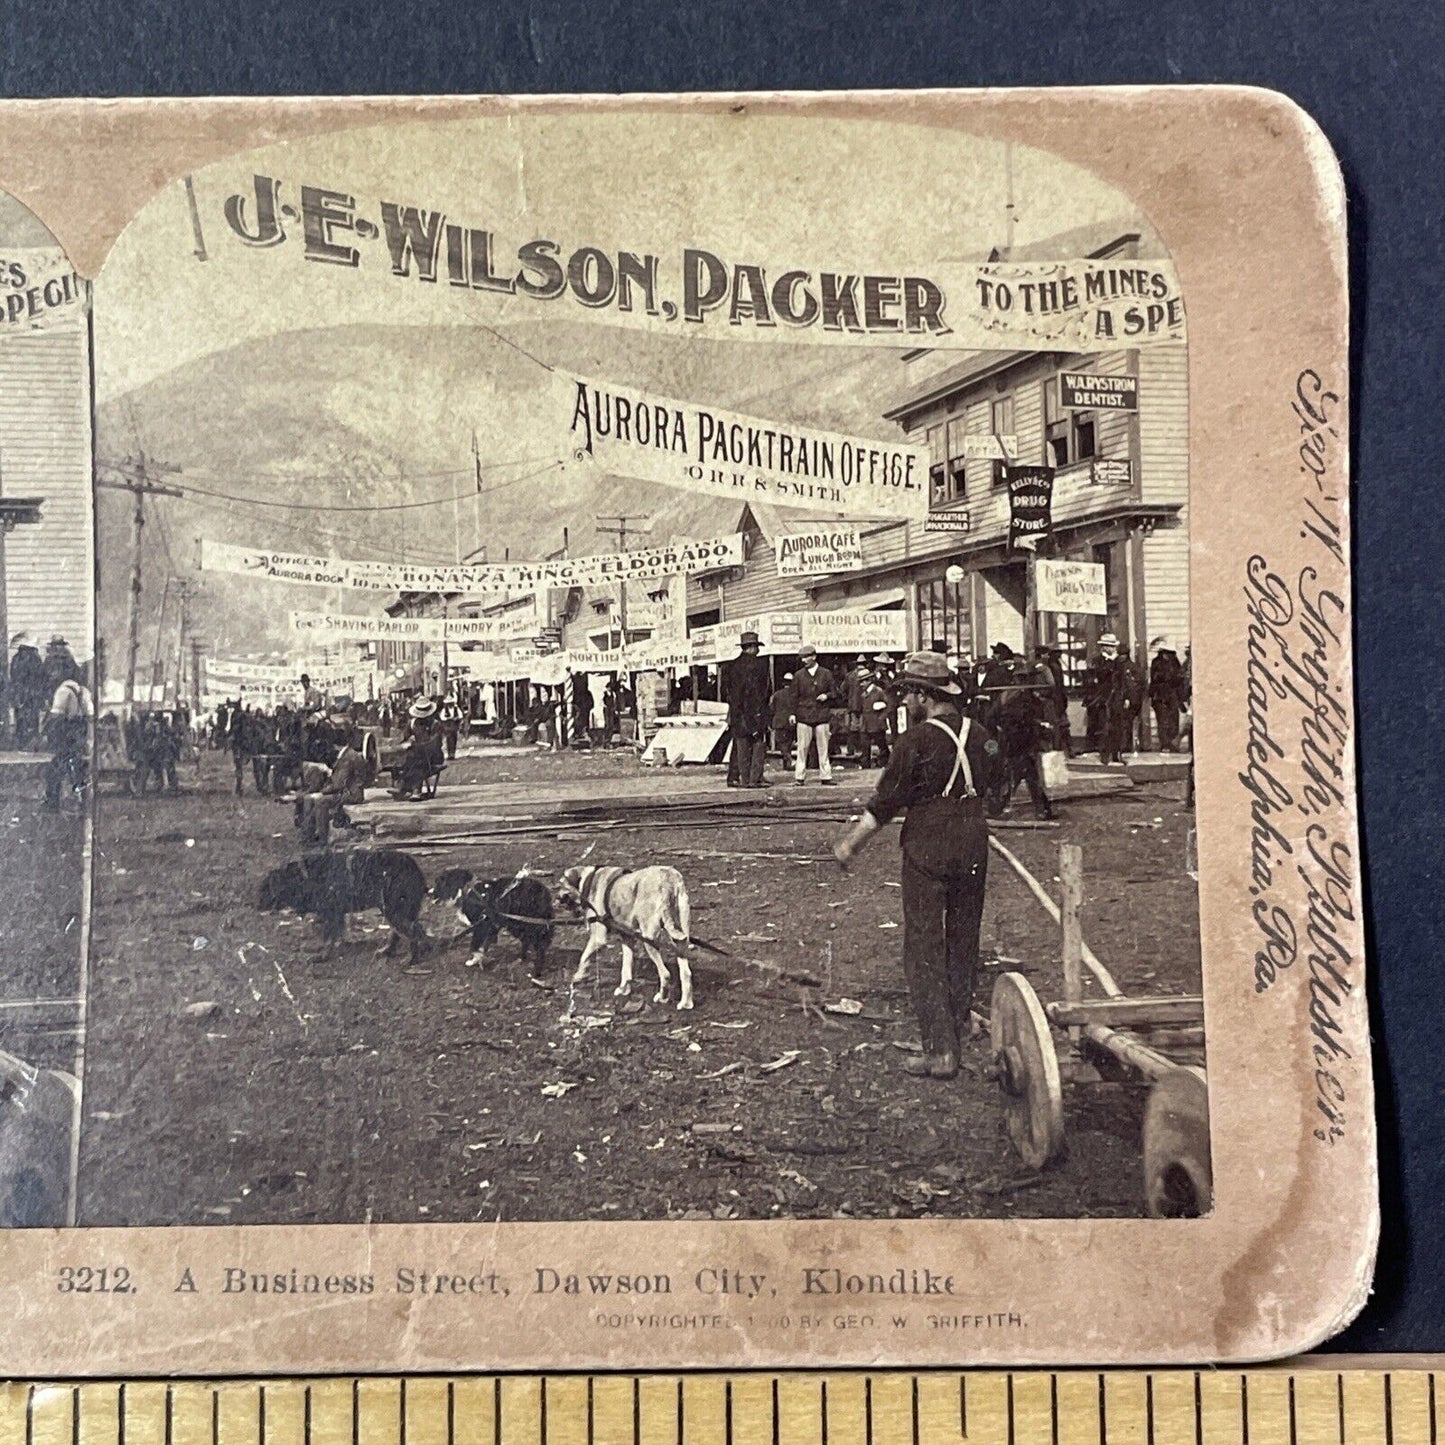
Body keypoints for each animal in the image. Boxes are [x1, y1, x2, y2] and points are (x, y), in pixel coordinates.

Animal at [260, 843, 427, 959]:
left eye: (267, 887)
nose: (256, 903)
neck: (305, 877)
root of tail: (414, 868)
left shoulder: (330, 913)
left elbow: (328, 934)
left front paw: (321, 955)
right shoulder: (334, 913)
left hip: (396, 910)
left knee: (413, 930)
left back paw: (411, 959)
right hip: (398, 909)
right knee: (401, 931)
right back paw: (387, 951)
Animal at [557, 861, 693, 1011]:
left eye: (560, 886)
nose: (557, 899)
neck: (589, 880)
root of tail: (668, 880)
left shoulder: (598, 939)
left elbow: (584, 957)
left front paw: (579, 976)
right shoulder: (627, 938)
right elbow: (626, 967)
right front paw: (624, 989)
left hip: (649, 939)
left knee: (666, 974)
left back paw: (663, 997)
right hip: (681, 940)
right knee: (686, 973)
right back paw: (686, 1003)